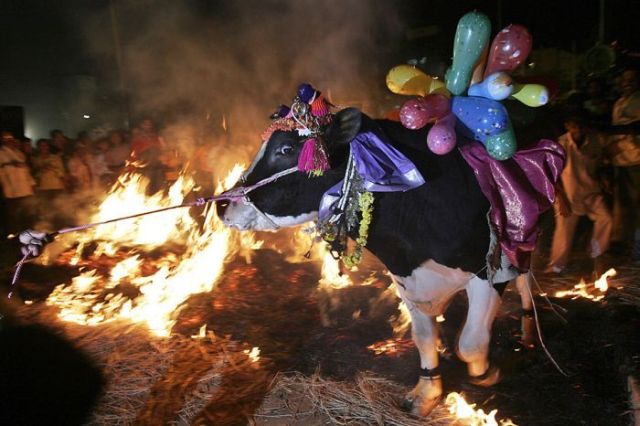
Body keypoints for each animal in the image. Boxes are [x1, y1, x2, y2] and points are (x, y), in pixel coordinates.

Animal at [219, 103, 531, 416]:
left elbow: (470, 342)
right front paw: (426, 393)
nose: (222, 204)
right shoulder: (406, 278)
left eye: (285, 149)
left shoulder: (491, 270)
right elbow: (423, 338)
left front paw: (487, 373)